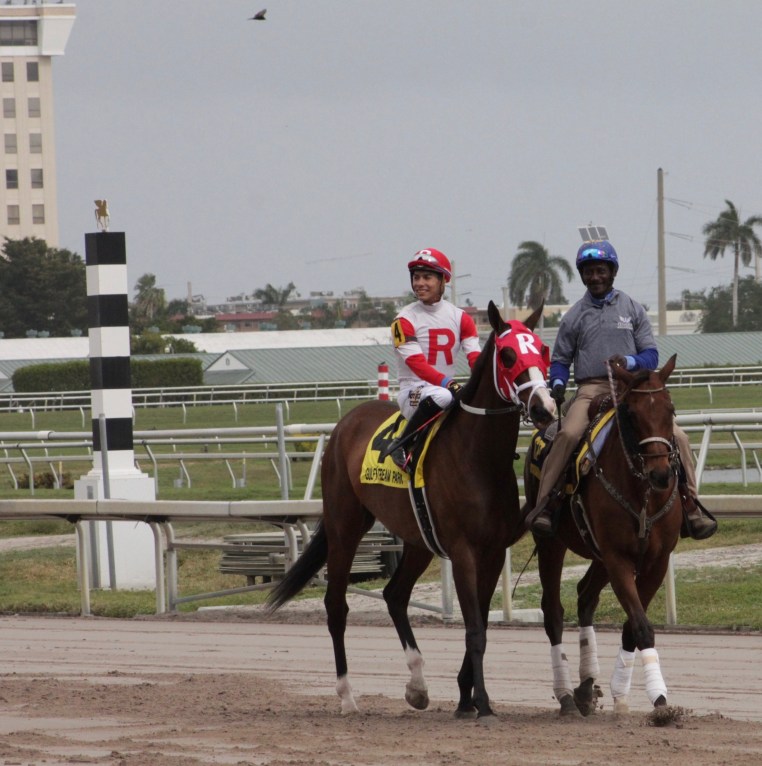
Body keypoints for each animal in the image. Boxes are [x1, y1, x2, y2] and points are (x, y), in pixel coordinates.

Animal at [267, 300, 556, 719]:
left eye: (543, 351)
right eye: (507, 355)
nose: (546, 408)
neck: (477, 456)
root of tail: (346, 423)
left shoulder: (492, 551)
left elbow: (481, 625)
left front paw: (465, 698)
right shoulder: (464, 551)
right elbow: (474, 630)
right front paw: (482, 703)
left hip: (418, 540)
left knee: (395, 595)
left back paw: (417, 686)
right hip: (345, 527)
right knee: (336, 605)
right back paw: (347, 696)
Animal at [524, 354, 683, 717]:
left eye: (670, 409)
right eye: (632, 414)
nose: (661, 474)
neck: (642, 494)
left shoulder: (655, 561)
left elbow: (632, 626)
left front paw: (626, 694)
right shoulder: (618, 558)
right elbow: (641, 625)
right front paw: (659, 698)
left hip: (597, 555)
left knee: (585, 595)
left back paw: (585, 687)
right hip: (552, 544)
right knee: (553, 610)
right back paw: (566, 694)